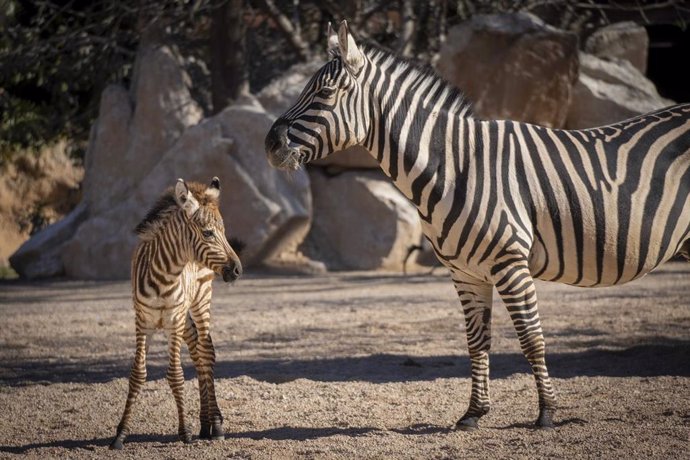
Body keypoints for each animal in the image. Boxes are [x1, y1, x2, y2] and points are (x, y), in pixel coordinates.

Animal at [110, 176, 242, 450]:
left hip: (200, 300)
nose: (238, 270)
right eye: (208, 232)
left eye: (224, 232)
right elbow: (137, 374)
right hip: (184, 316)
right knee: (197, 350)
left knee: (206, 350)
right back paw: (205, 424)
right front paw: (120, 434)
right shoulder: (142, 322)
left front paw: (184, 432)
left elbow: (175, 375)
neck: (165, 275)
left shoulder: (174, 321)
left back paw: (216, 424)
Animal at [264, 21, 688, 432]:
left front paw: (547, 413)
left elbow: (531, 340)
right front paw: (474, 412)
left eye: (325, 93)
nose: (269, 144)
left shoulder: (510, 263)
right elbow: (477, 341)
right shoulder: (466, 272)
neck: (456, 167)